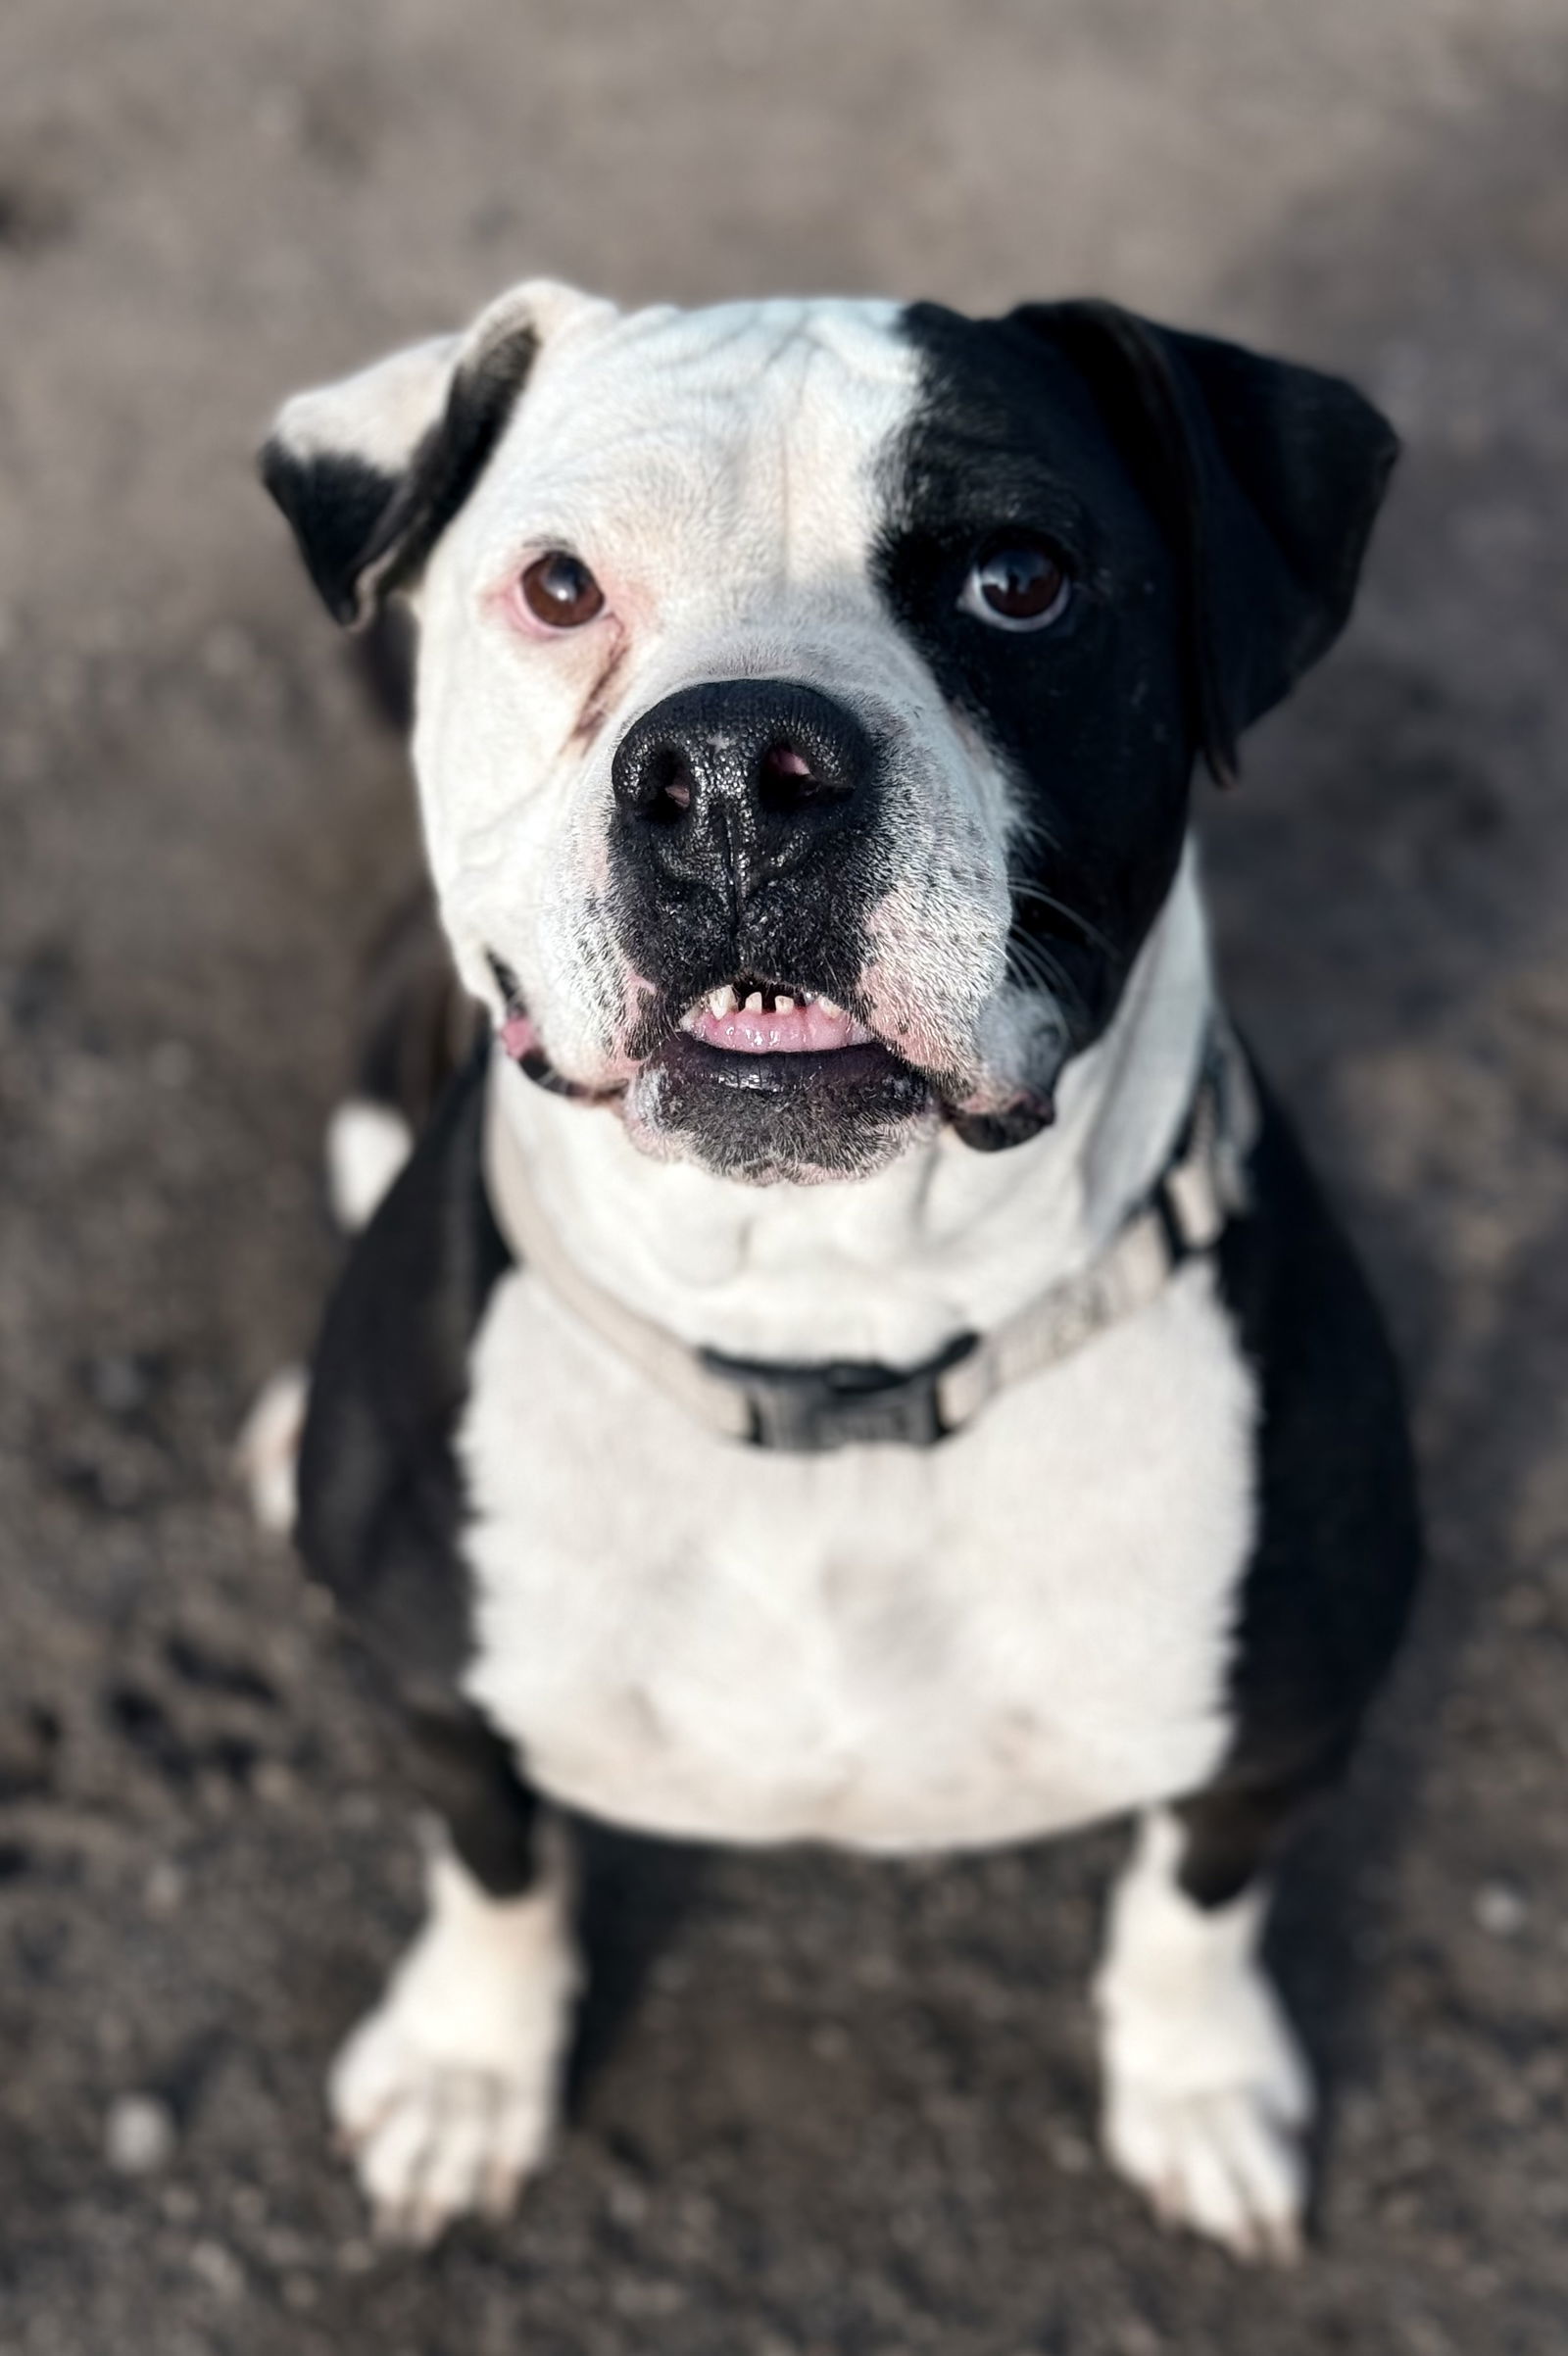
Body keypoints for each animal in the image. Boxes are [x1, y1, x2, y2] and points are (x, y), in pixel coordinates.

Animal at [253, 280, 1412, 2261]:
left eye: (1020, 579)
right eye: (559, 586)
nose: (735, 766)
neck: (831, 1337)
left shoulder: (1287, 1724)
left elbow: (1195, 1906)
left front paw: (1199, 2084)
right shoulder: (430, 1685)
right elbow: (493, 1869)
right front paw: (471, 2063)